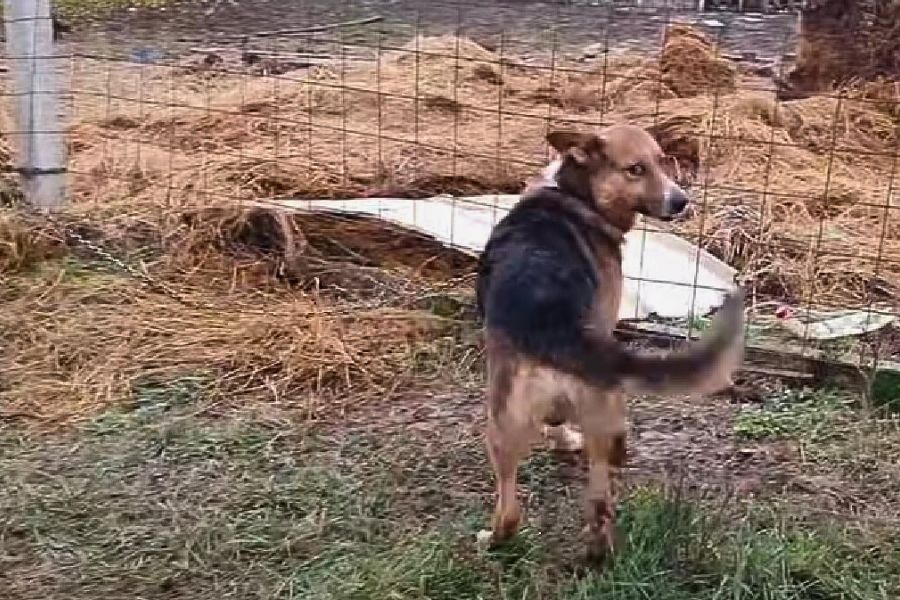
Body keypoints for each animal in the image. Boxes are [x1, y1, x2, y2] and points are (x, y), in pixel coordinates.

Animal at [474, 124, 740, 560]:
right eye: (636, 169)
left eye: (662, 161)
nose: (681, 201)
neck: (574, 194)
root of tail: (555, 325)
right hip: (591, 404)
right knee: (600, 490)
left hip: (500, 424)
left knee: (512, 510)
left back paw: (496, 541)